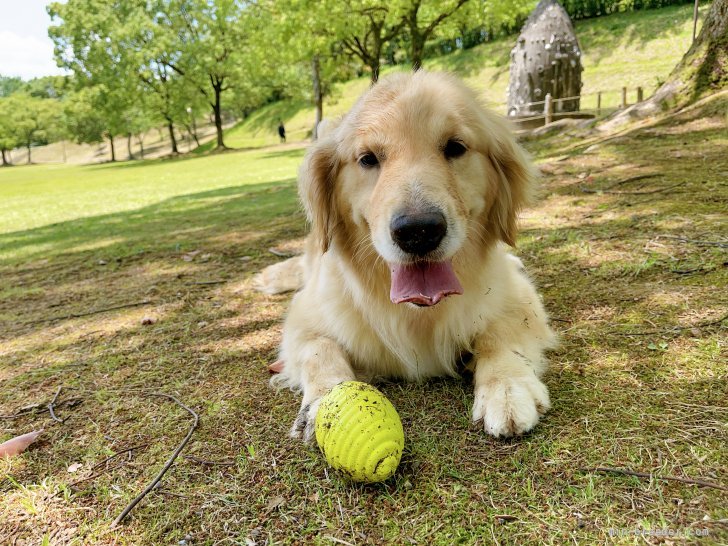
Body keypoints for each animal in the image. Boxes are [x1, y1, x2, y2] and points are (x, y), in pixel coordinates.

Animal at [256, 70, 556, 440]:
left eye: (455, 147)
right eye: (368, 158)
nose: (418, 231)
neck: (418, 314)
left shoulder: (519, 298)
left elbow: (500, 333)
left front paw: (508, 388)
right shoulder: (304, 316)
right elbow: (320, 348)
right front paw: (325, 403)